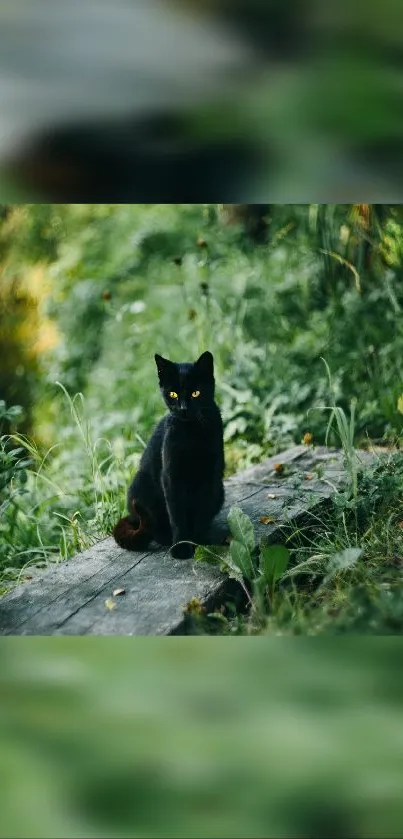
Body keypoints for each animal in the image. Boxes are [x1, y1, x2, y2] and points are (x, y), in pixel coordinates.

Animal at [113, 352, 224, 556]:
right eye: (173, 394)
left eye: (196, 393)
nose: (183, 408)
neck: (192, 433)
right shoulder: (171, 477)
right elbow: (177, 516)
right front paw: (181, 547)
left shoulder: (210, 476)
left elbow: (202, 511)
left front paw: (201, 543)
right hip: (141, 485)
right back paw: (166, 538)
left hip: (220, 489)